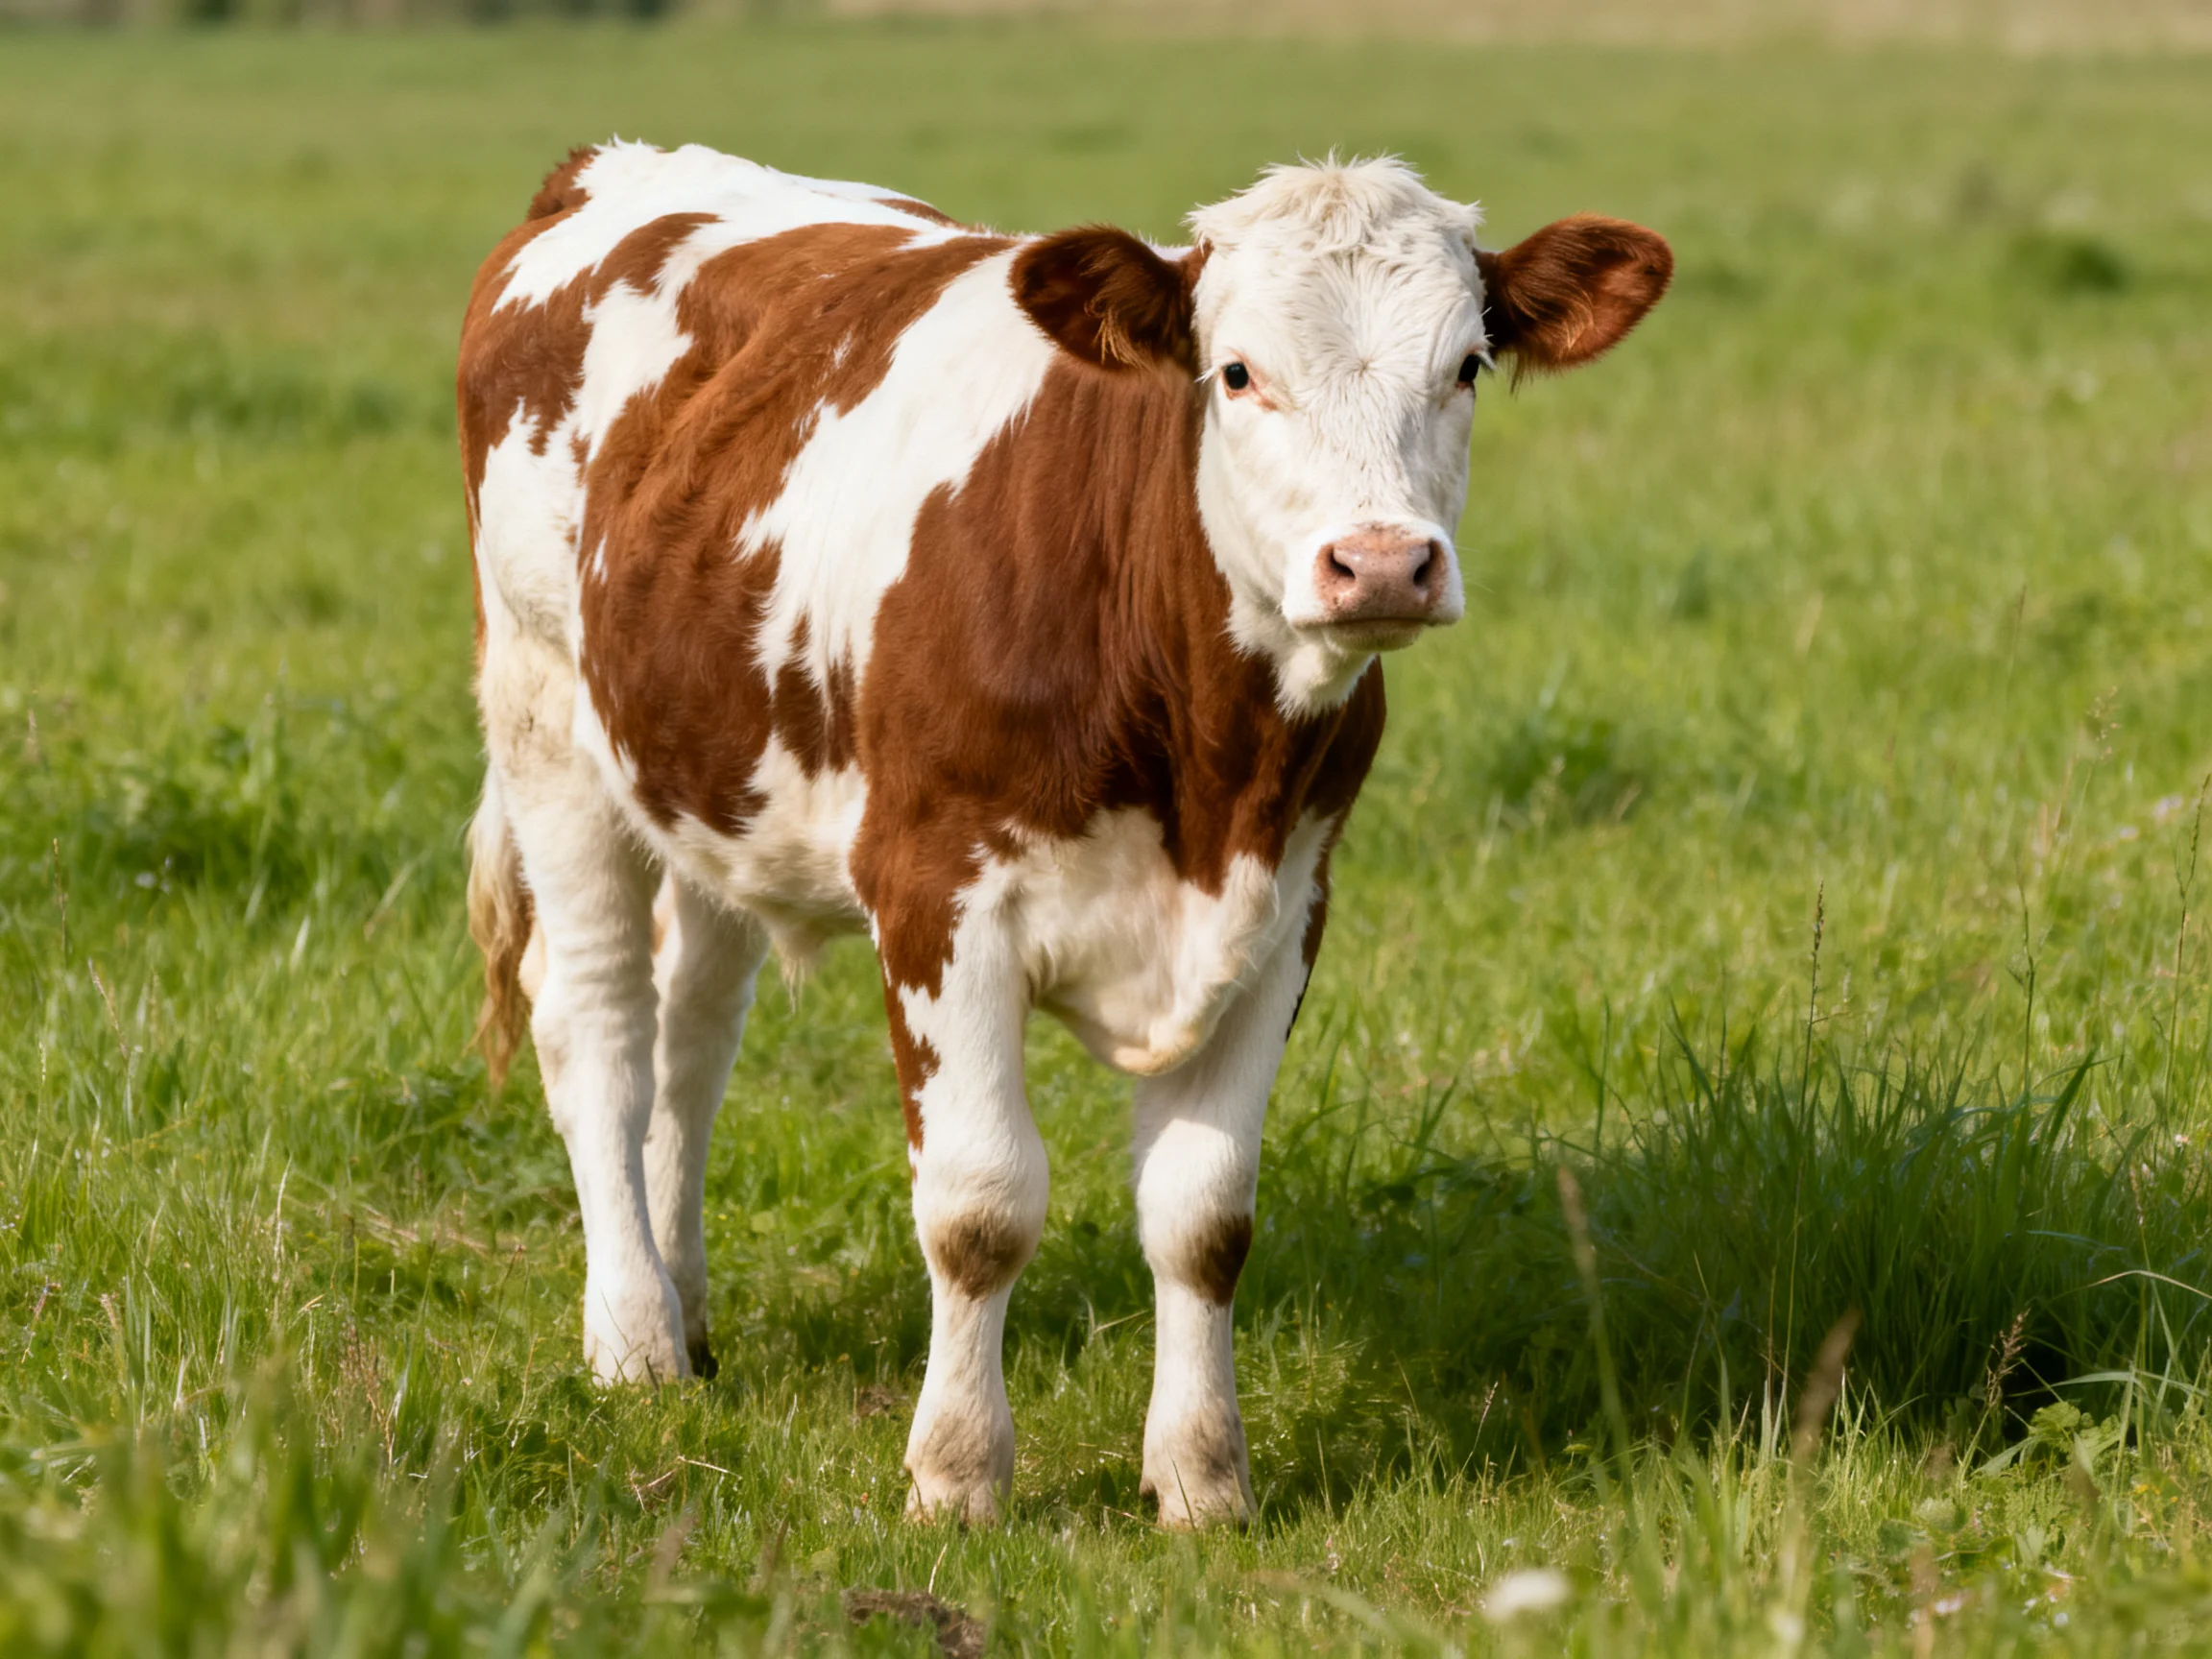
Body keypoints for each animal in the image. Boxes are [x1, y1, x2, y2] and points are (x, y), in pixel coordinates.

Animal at [457, 141, 1669, 1528]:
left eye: (1465, 365)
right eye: (1236, 371)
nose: (1378, 565)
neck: (1207, 766)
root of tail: (615, 168)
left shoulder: (1285, 910)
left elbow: (1205, 1217)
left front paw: (1201, 1479)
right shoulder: (938, 899)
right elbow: (979, 1206)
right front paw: (957, 1474)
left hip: (708, 783)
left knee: (691, 1038)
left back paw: (686, 1305)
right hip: (547, 719)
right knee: (597, 1027)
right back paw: (635, 1341)